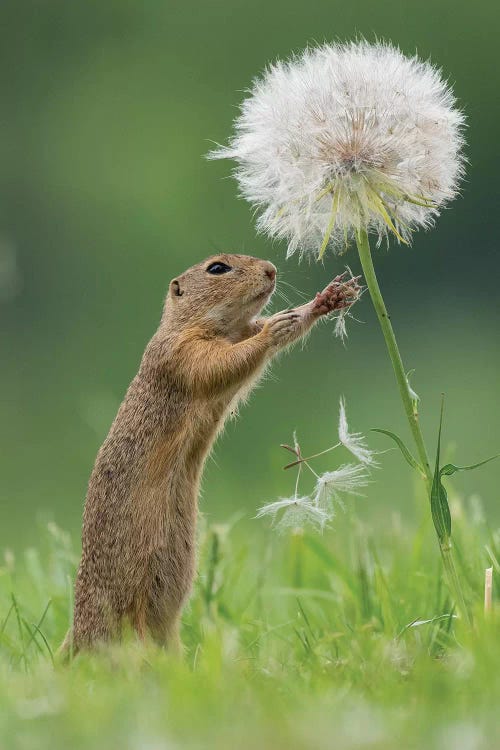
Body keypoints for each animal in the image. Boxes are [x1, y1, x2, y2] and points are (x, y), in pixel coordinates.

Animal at [63, 256, 360, 656]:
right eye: (217, 268)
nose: (271, 269)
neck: (213, 326)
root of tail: (77, 635)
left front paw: (324, 300)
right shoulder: (183, 352)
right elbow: (224, 363)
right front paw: (276, 329)